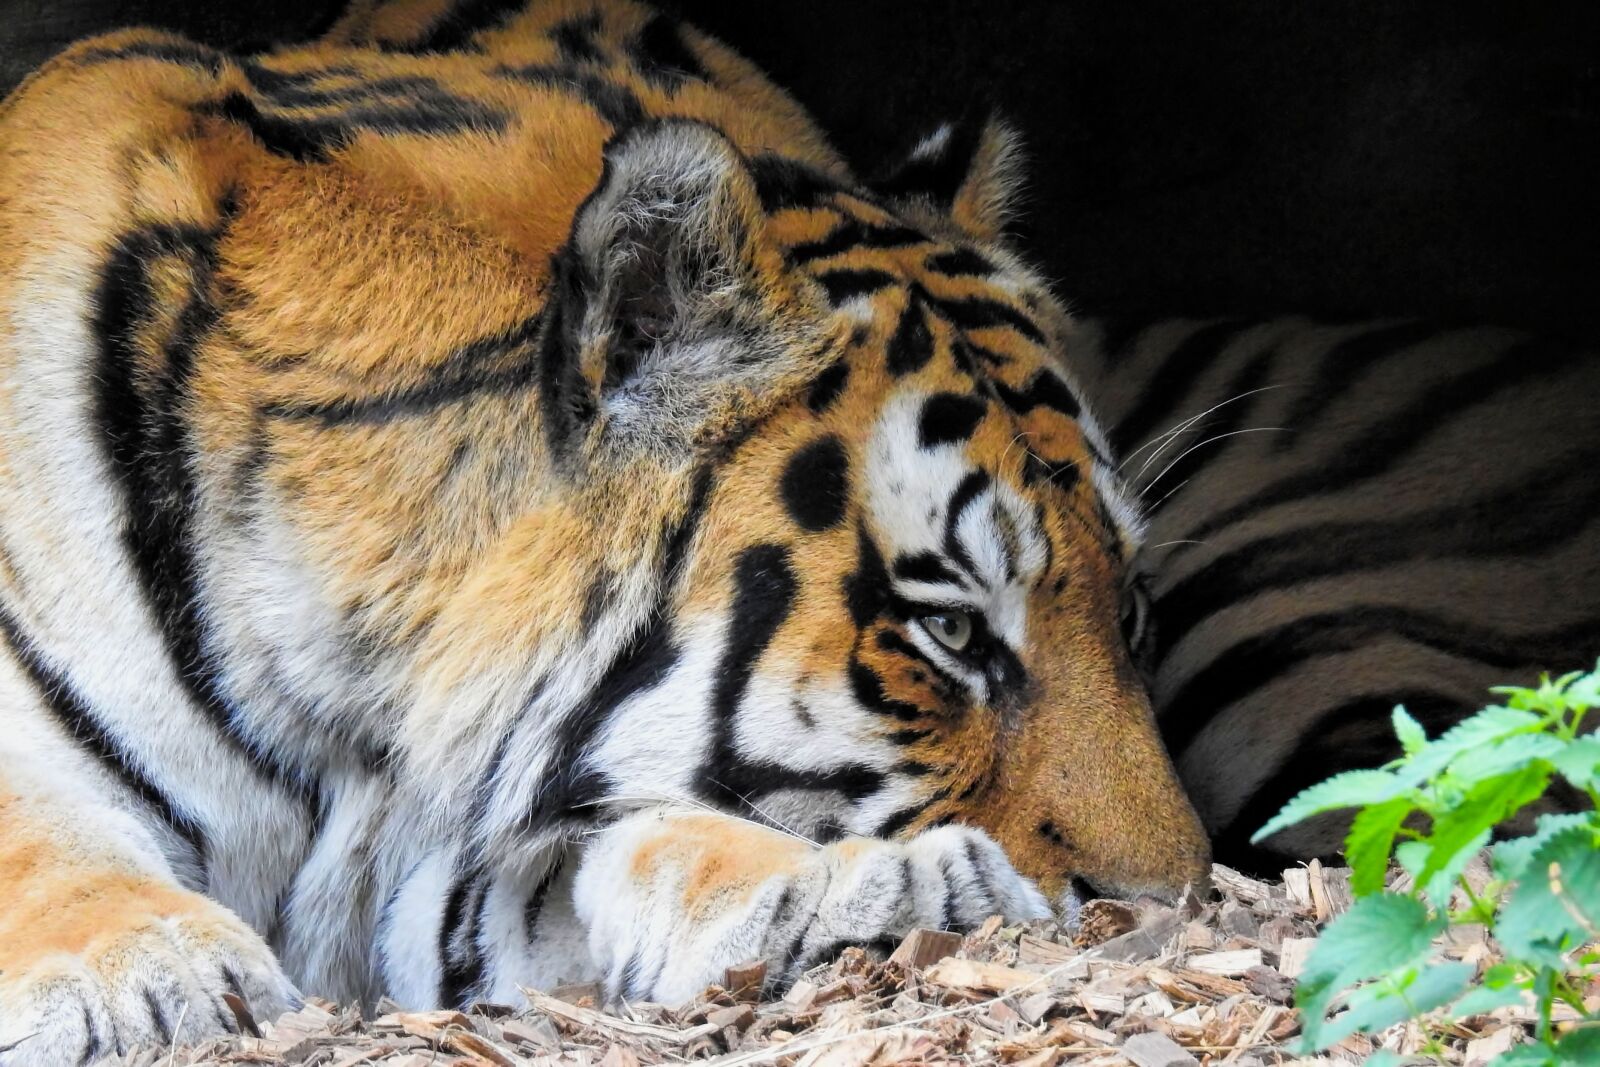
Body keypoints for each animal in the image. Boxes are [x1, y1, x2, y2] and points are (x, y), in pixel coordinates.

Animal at [0, 0, 1210, 1059]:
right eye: (949, 631)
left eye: (1131, 609)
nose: (1177, 905)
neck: (364, 688)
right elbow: (41, 832)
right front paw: (147, 979)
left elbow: (594, 863)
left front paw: (859, 885)